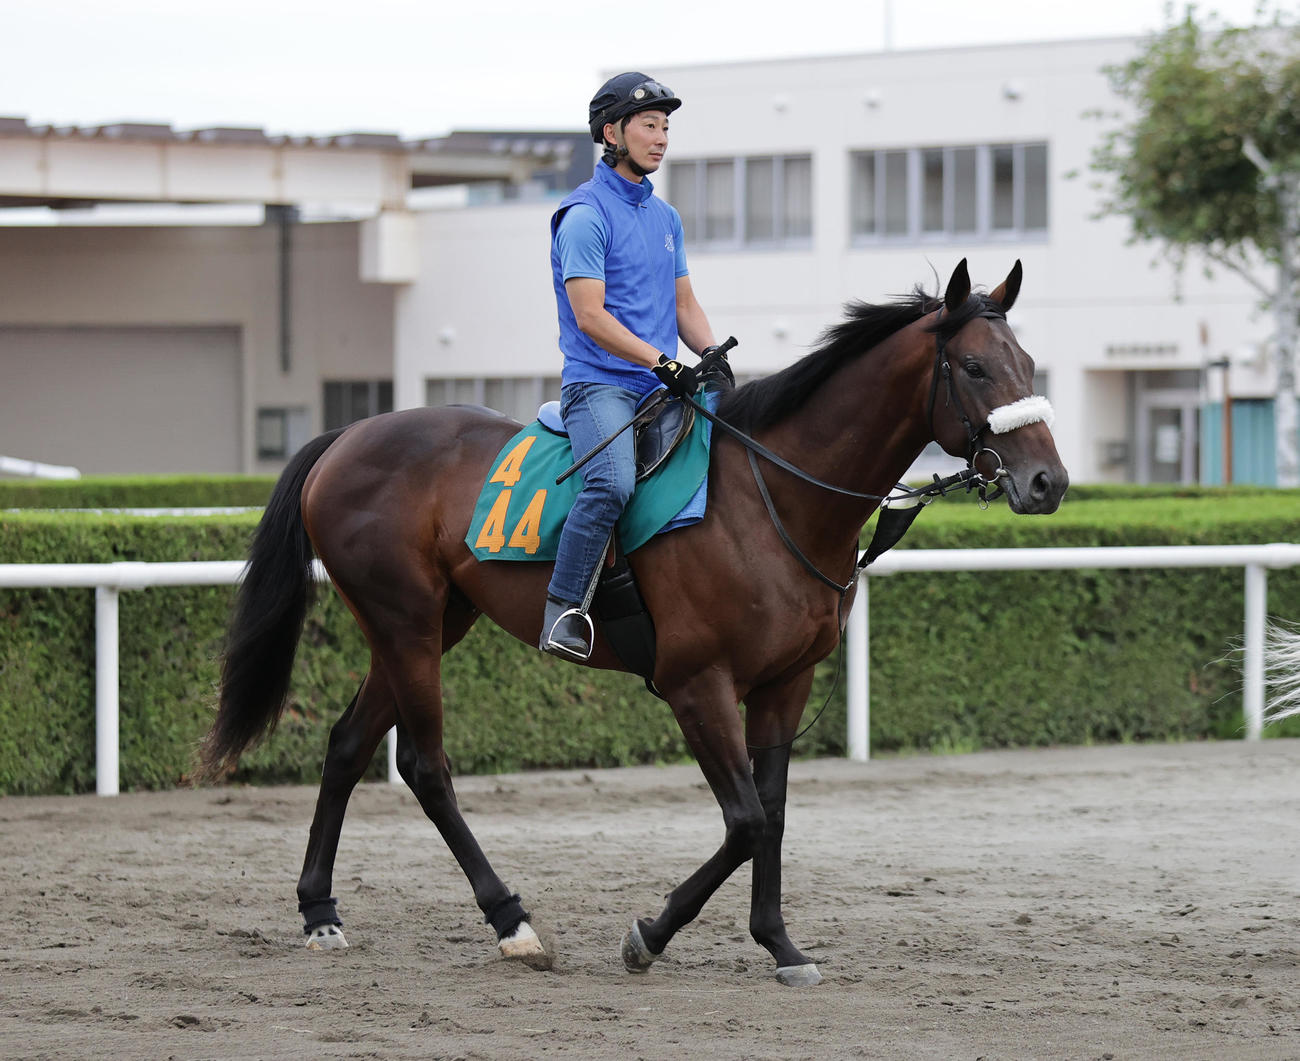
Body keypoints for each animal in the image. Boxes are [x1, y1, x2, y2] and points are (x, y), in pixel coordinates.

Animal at [201, 258, 1068, 987]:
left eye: (1029, 364)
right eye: (975, 367)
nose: (1048, 481)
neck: (771, 499)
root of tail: (346, 436)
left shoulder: (786, 680)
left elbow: (774, 814)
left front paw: (779, 942)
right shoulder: (696, 682)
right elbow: (746, 819)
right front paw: (651, 932)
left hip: (435, 620)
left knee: (349, 742)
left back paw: (320, 910)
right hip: (405, 620)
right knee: (425, 764)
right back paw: (512, 921)